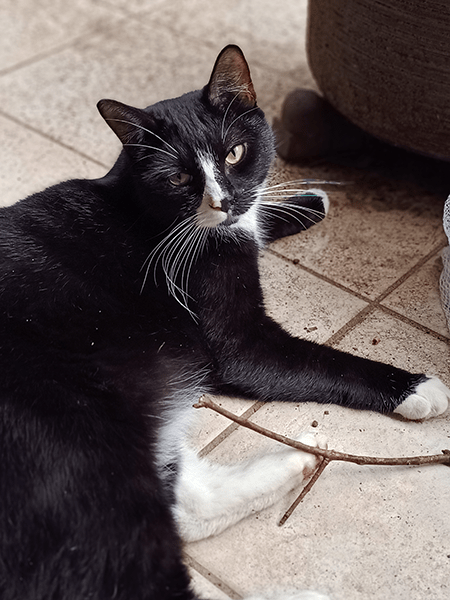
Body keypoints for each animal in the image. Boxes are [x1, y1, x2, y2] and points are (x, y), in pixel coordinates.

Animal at [0, 44, 448, 596]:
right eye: (177, 178)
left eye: (234, 153)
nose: (225, 201)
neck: (145, 210)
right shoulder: (240, 342)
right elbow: (321, 362)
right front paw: (416, 388)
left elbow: (255, 221)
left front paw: (306, 202)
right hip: (80, 447)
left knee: (185, 501)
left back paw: (297, 461)